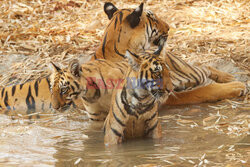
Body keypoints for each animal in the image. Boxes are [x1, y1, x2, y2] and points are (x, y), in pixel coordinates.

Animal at [93, 1, 246, 104]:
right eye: (153, 18)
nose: (168, 27)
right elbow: (202, 91)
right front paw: (237, 86)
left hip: (188, 71)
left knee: (204, 67)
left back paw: (230, 77)